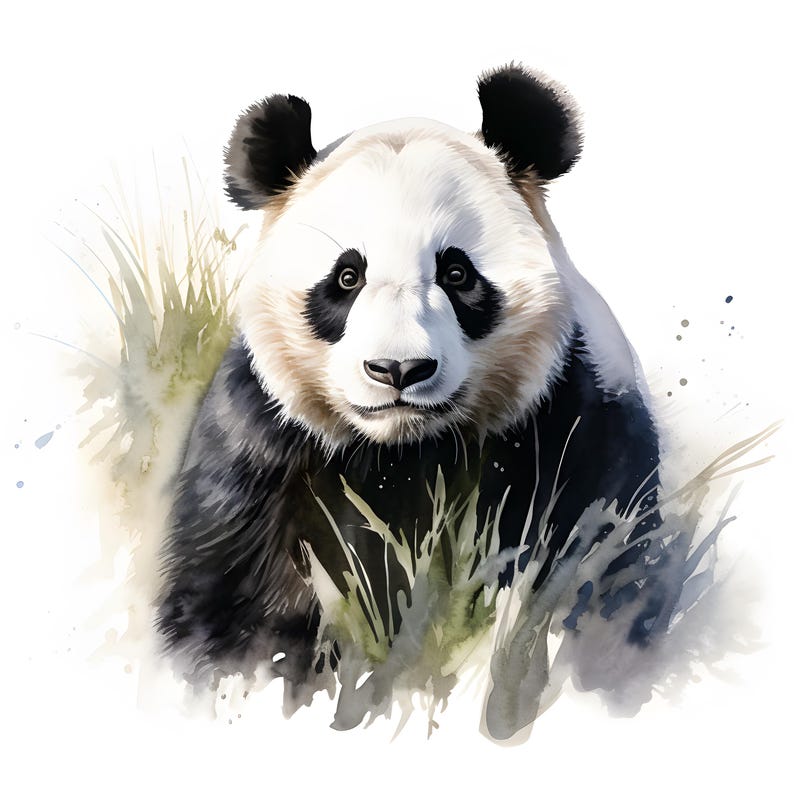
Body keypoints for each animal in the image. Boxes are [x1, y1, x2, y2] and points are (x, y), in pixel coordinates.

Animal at [157, 65, 661, 686]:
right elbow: (228, 602)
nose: (398, 369)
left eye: (457, 272)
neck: (405, 450)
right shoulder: (264, 456)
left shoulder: (575, 428)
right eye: (346, 277)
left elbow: (603, 564)